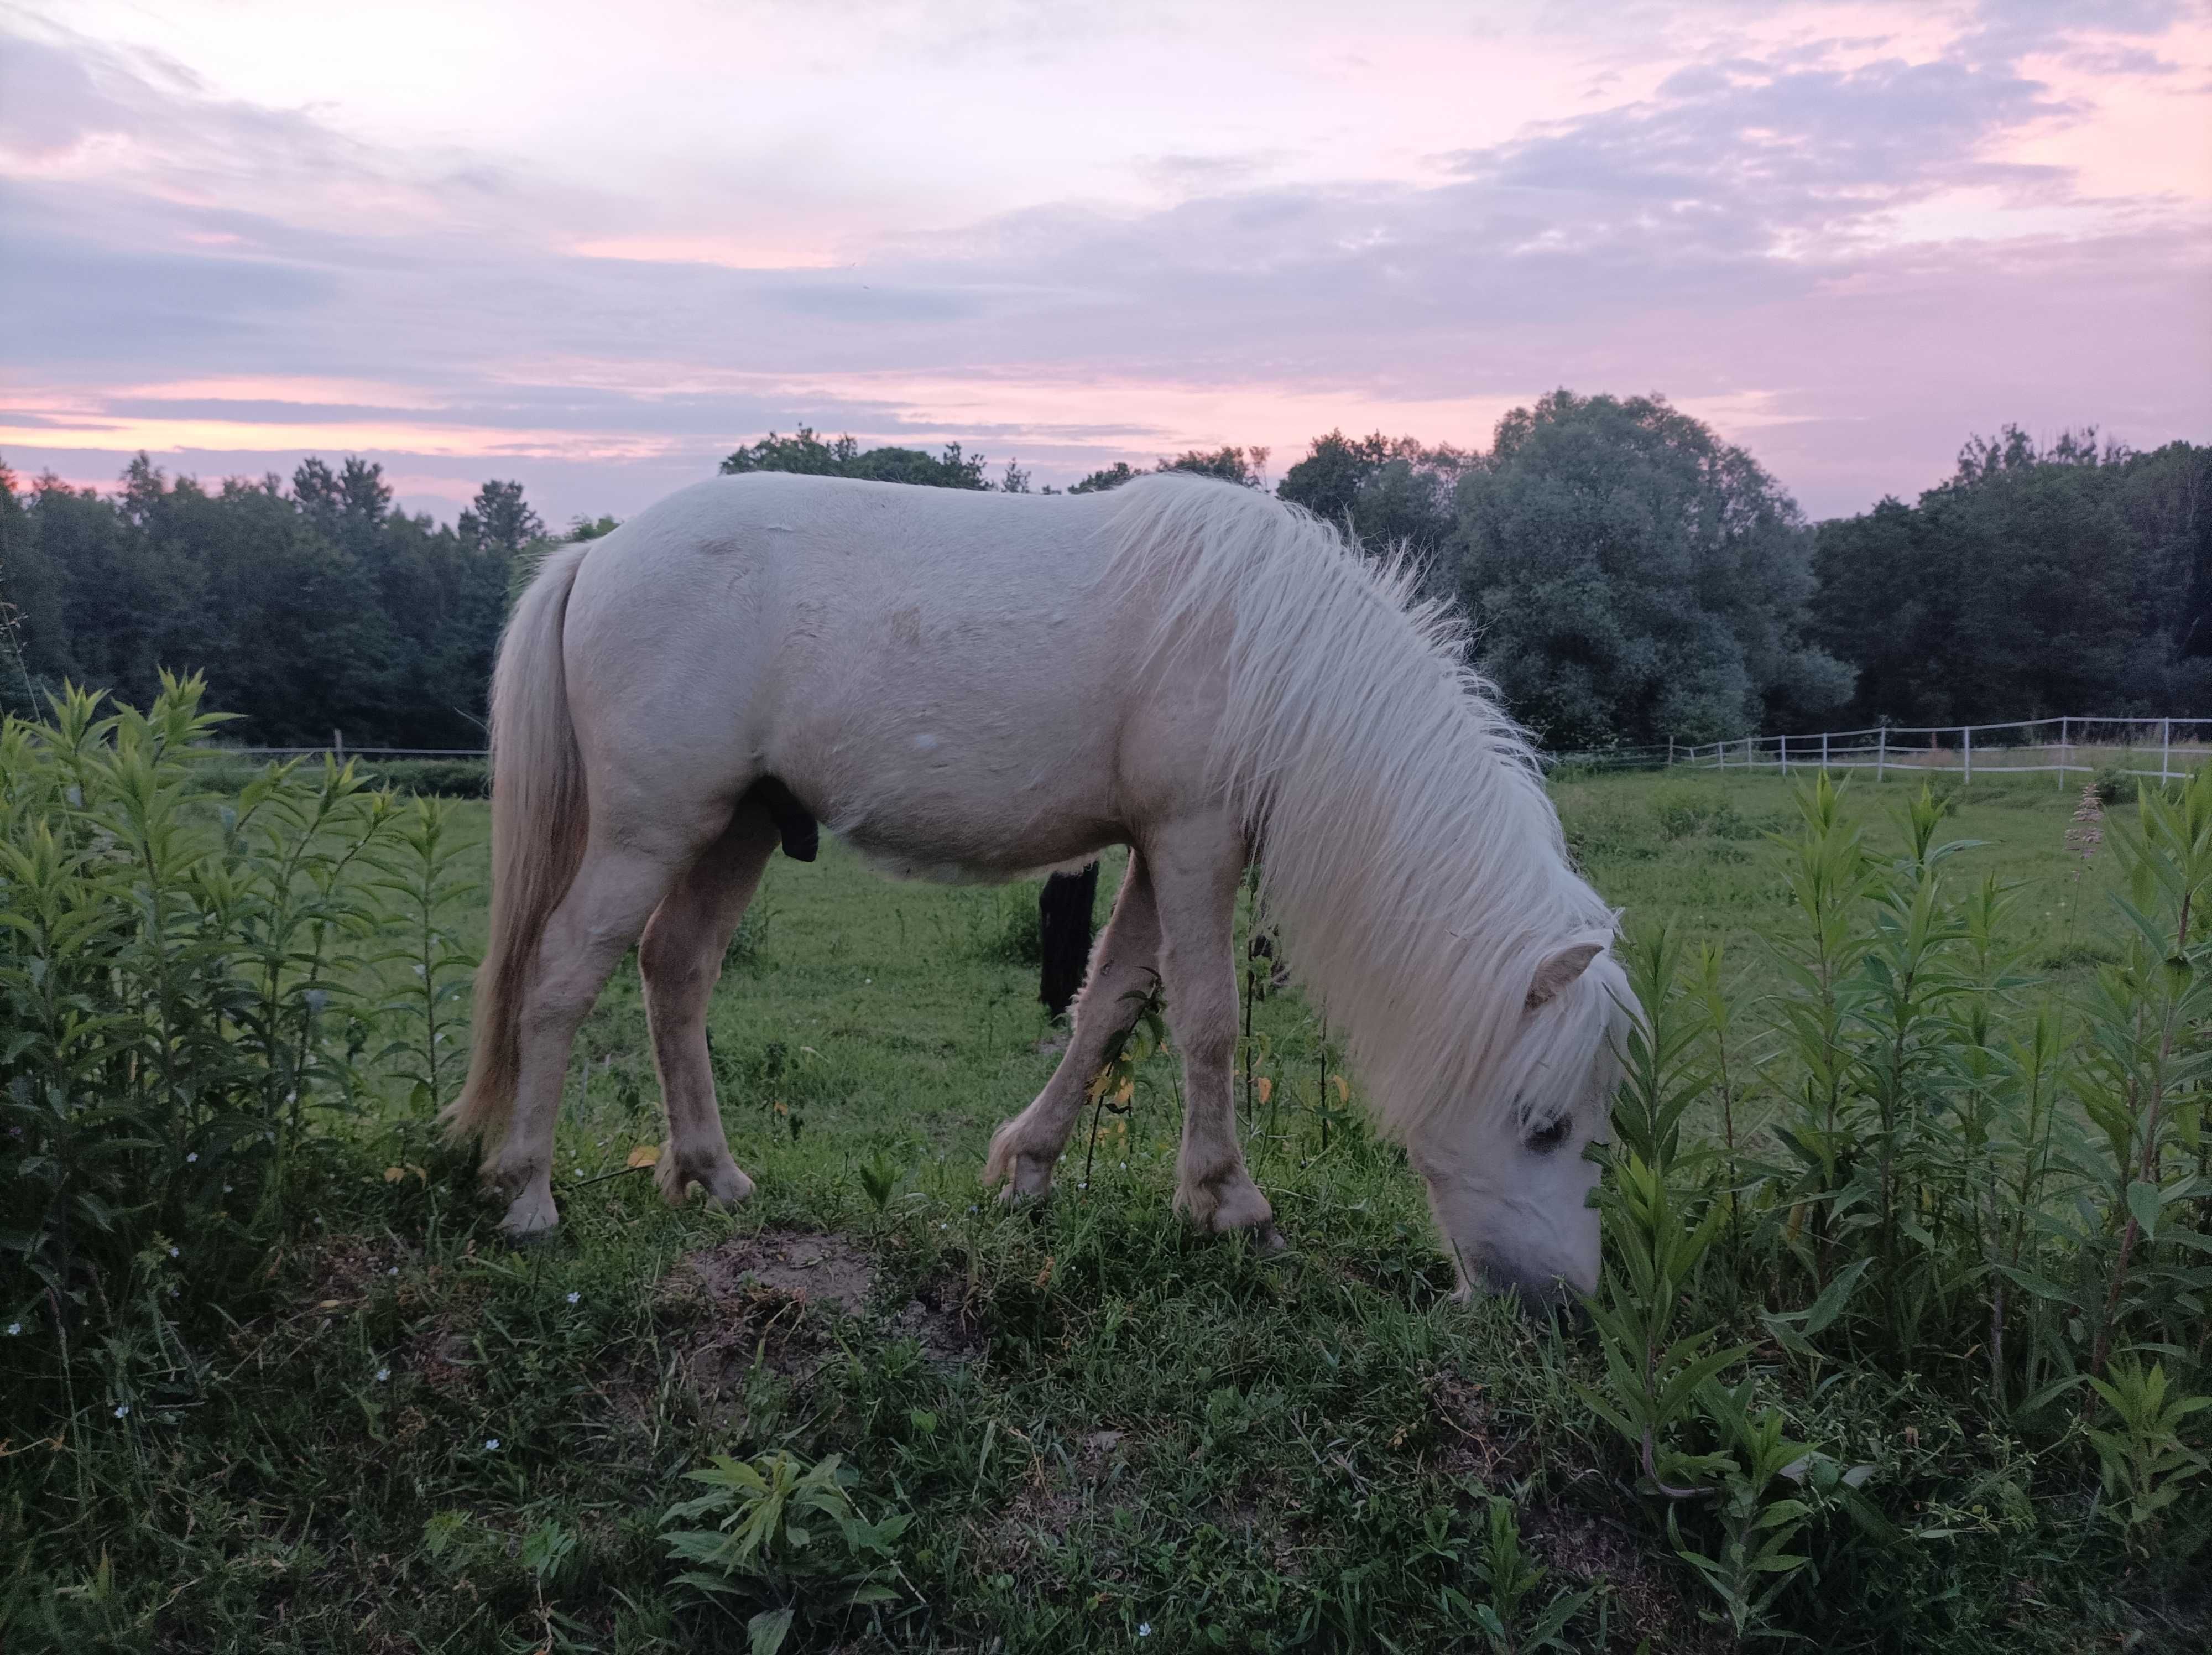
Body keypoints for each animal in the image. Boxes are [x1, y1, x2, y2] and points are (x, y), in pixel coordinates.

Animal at [445, 465, 1628, 1292]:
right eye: (1542, 1126)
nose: (1558, 1305)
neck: (1275, 658)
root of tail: (595, 556)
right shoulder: (1195, 840)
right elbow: (1208, 1020)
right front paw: (1231, 1205)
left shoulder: (1155, 846)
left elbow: (1112, 1007)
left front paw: (1028, 1170)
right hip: (650, 828)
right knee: (563, 974)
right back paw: (530, 1195)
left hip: (736, 826)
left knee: (675, 969)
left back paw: (712, 1173)